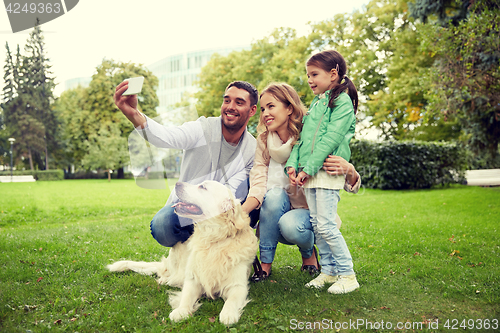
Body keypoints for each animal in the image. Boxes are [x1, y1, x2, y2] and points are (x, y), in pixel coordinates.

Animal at [108, 182, 258, 324]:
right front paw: (181, 311)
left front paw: (228, 314)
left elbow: (231, 301)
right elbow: (186, 296)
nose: (177, 183)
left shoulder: (238, 285)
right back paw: (164, 279)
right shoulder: (193, 278)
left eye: (203, 187)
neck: (213, 240)